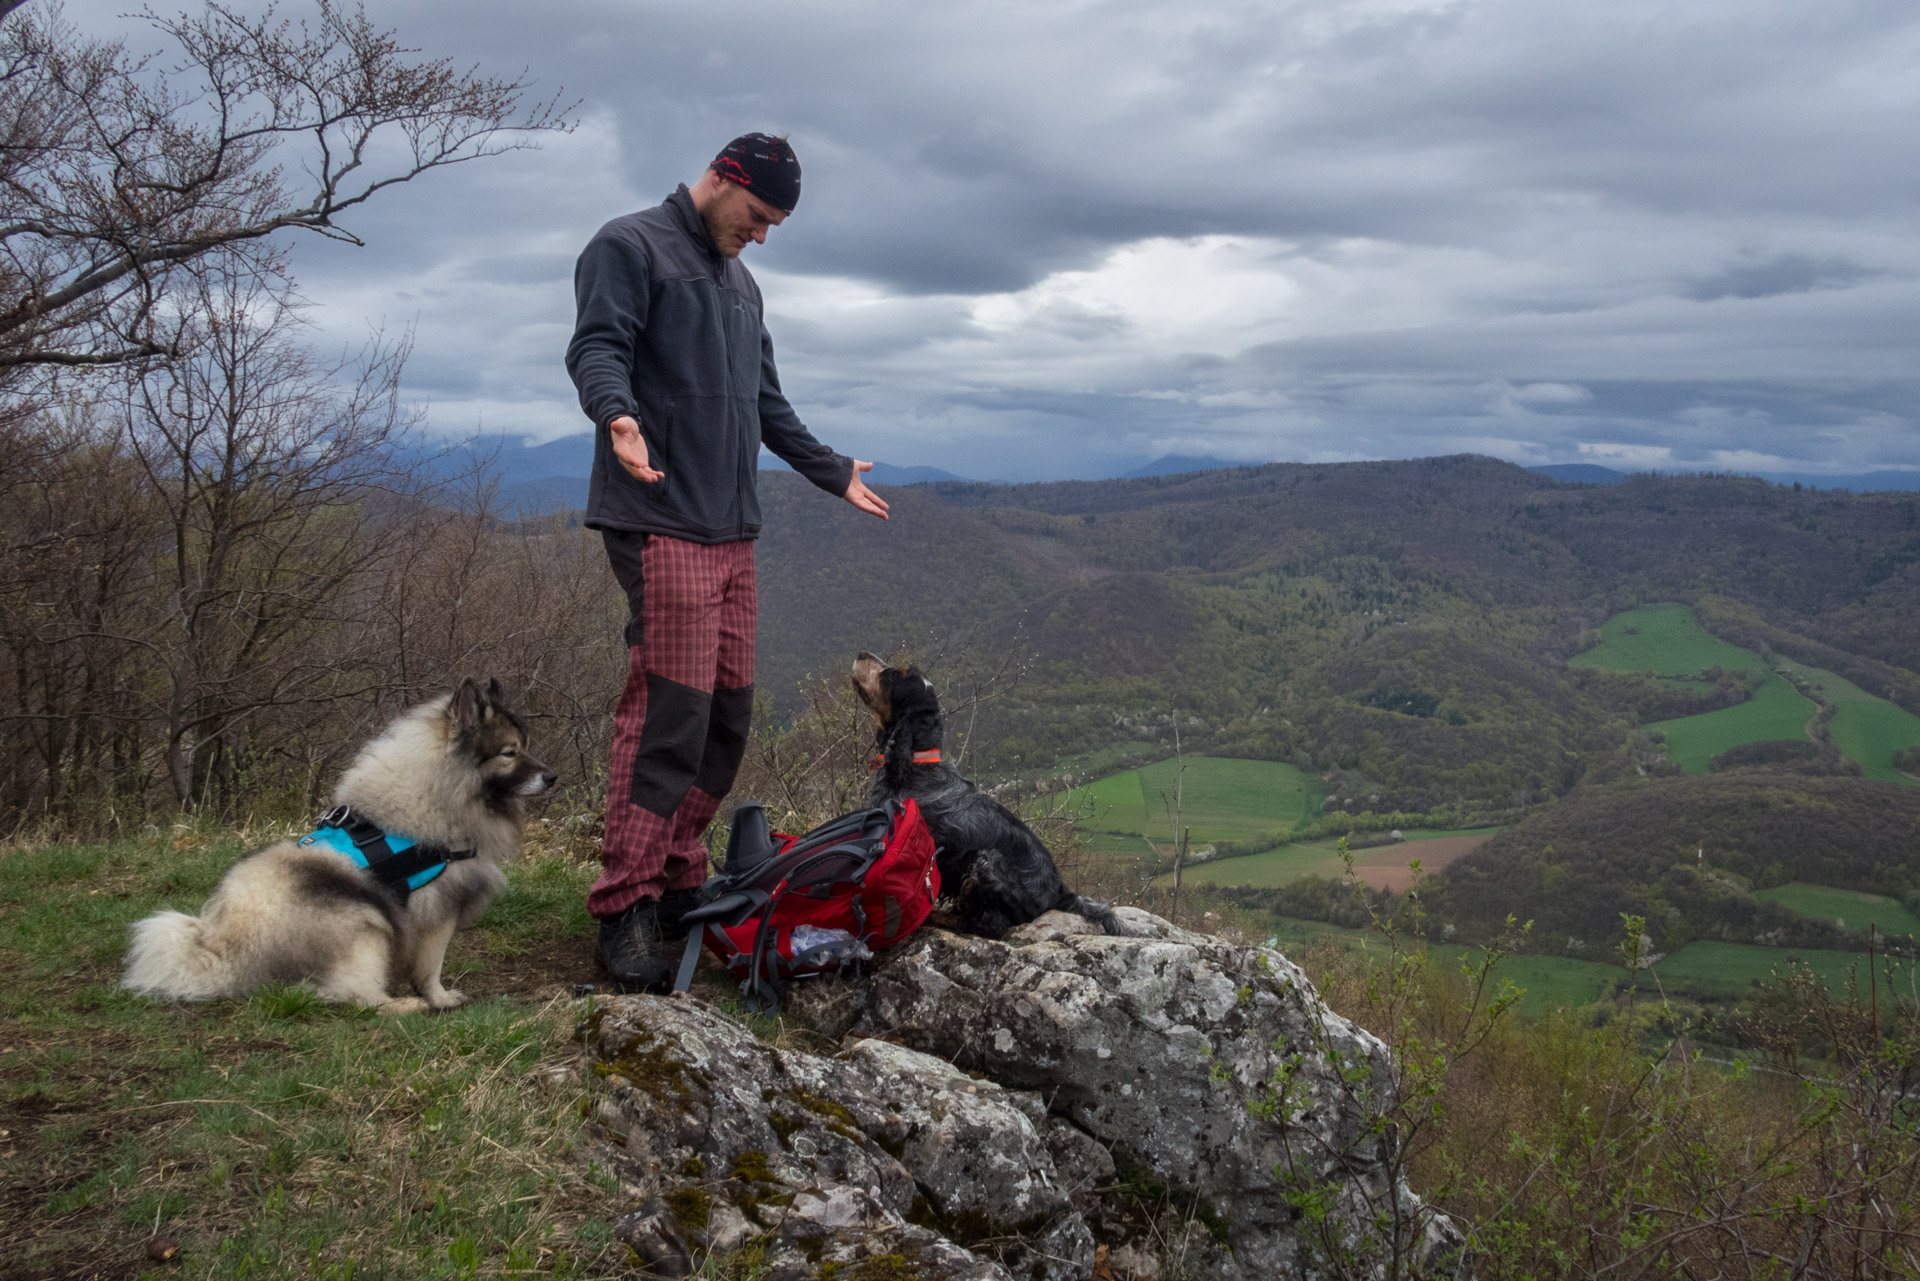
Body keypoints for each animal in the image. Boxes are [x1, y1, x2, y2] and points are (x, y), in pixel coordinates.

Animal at [122, 676, 556, 1014]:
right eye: (510, 752)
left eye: (526, 746)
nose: (552, 777)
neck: (436, 792)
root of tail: (234, 951)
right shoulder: (437, 913)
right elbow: (430, 967)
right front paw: (439, 998)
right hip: (365, 928)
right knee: (355, 995)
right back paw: (404, 1005)